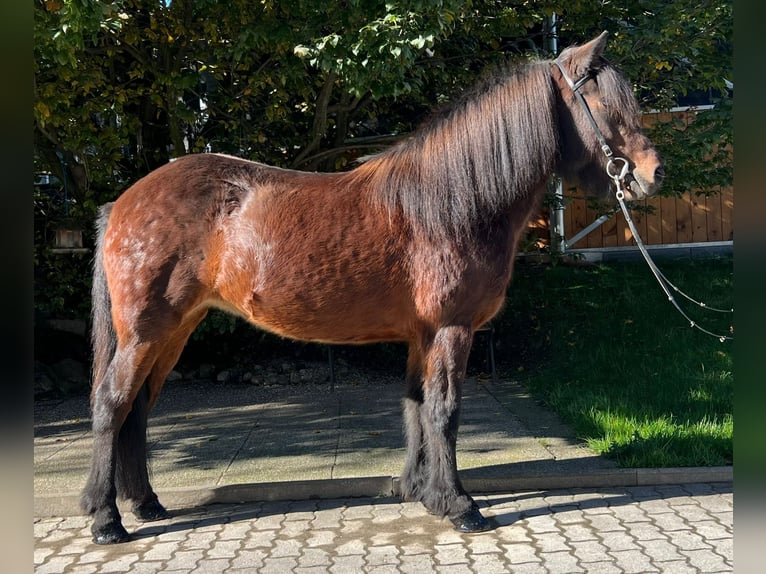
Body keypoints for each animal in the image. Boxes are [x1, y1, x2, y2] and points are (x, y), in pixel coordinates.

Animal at [81, 31, 663, 543]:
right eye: (605, 104)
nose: (652, 174)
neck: (455, 202)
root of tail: (123, 202)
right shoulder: (452, 329)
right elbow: (444, 411)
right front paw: (460, 506)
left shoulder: (422, 335)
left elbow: (416, 408)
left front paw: (422, 493)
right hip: (145, 333)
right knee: (112, 404)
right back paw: (107, 520)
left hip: (173, 331)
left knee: (138, 408)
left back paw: (146, 503)